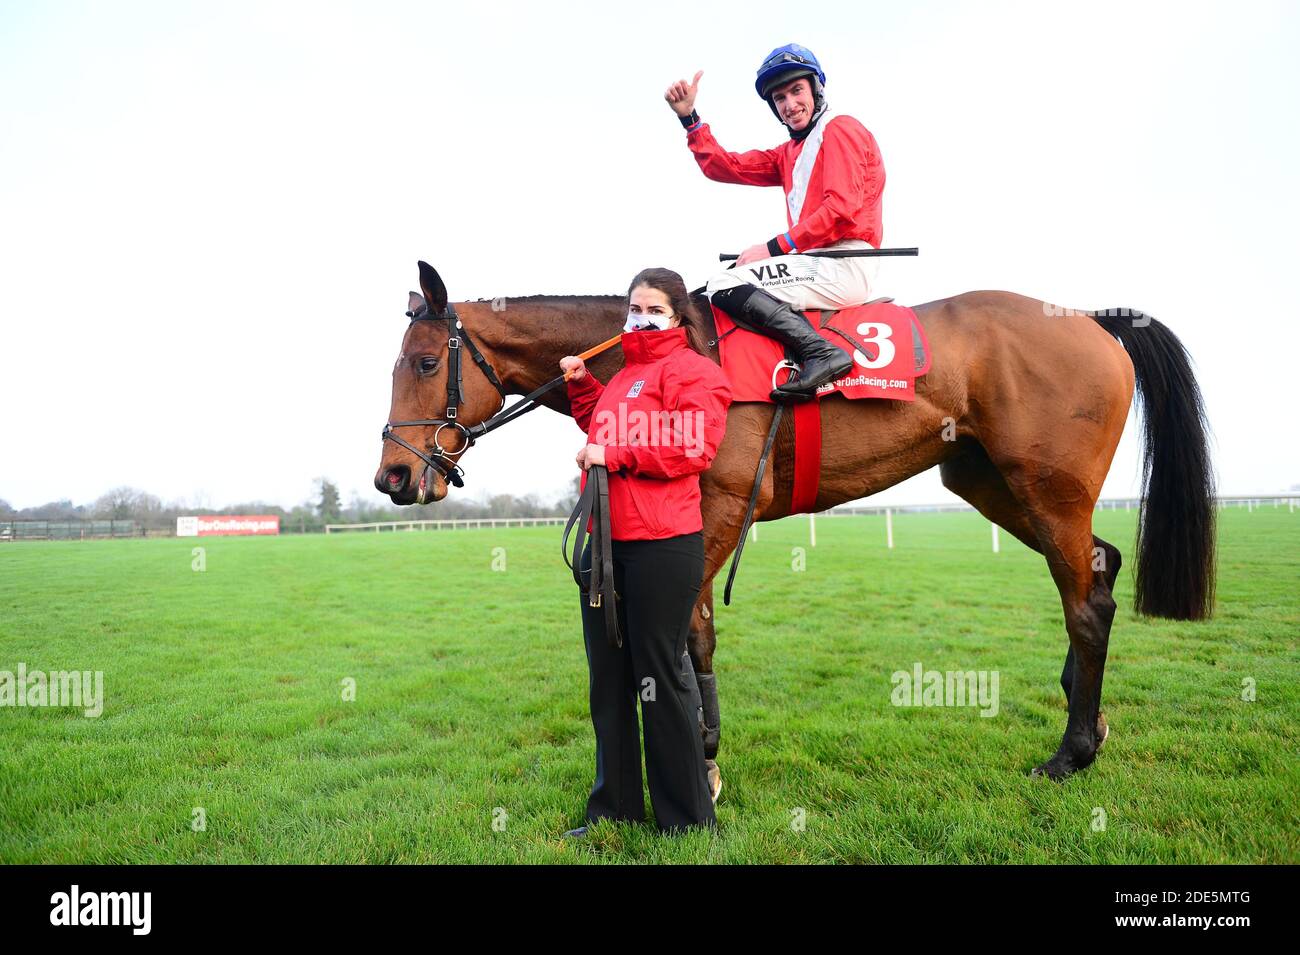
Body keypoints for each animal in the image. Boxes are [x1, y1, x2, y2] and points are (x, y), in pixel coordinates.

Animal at [377, 263, 1216, 784]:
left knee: (1087, 602)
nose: (392, 477)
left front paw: (703, 758)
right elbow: (692, 627)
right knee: (1098, 569)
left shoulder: (718, 505)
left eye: (425, 363)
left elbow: (689, 629)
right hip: (993, 483)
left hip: (1049, 490)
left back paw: (1070, 751)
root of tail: (1088, 319)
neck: (658, 358)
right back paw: (1090, 718)